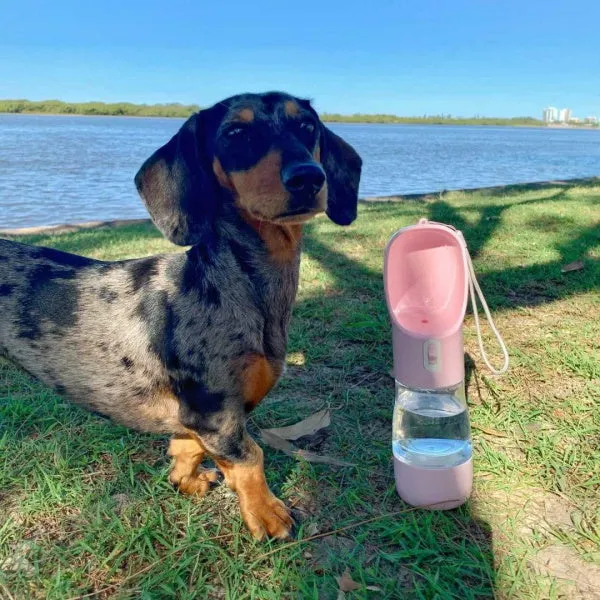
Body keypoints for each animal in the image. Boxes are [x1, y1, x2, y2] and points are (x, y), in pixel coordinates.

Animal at [0, 91, 360, 540]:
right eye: (235, 133)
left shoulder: (203, 417)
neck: (229, 284)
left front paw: (186, 480)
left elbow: (187, 447)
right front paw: (266, 513)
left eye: (307, 125)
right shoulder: (215, 413)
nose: (308, 177)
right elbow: (250, 457)